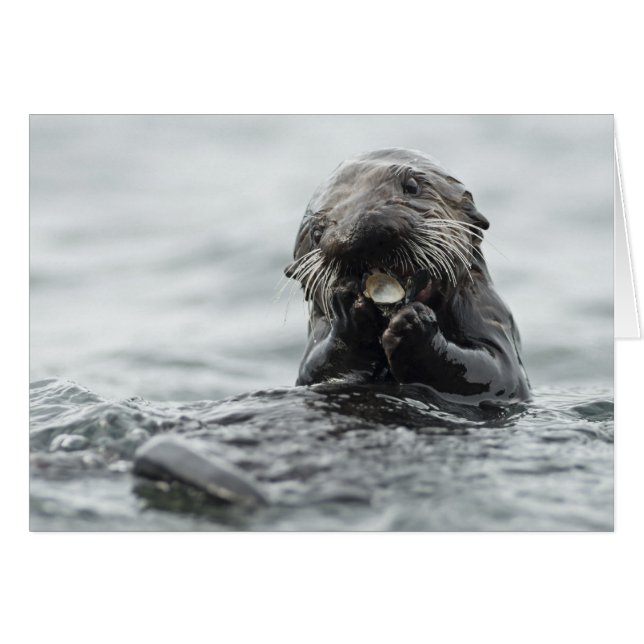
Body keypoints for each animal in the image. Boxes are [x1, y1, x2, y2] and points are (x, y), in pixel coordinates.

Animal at [285, 148, 530, 404]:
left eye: (412, 186)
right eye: (316, 233)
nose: (358, 232)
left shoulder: (488, 314)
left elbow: (497, 372)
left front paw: (414, 324)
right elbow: (316, 370)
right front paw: (349, 312)